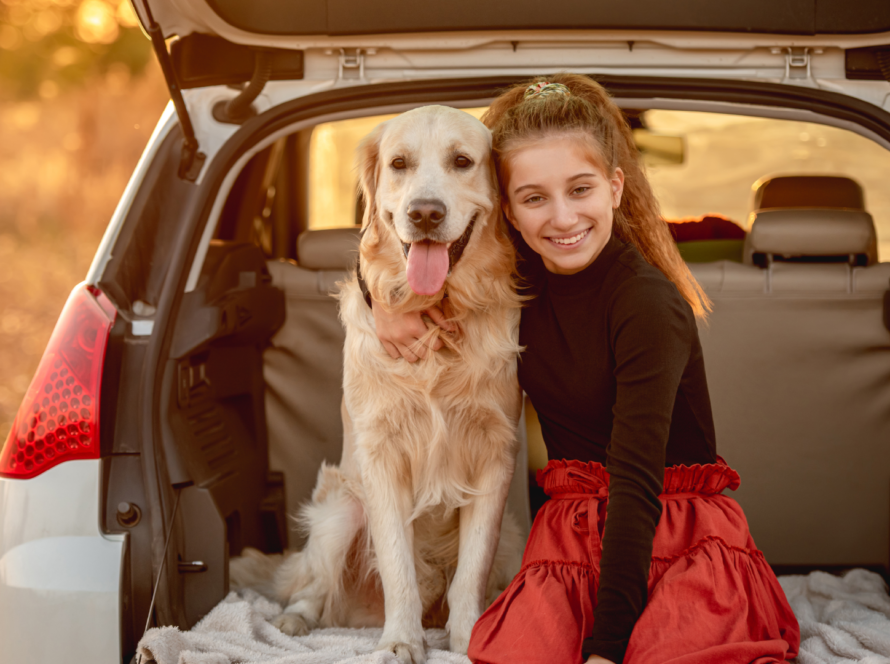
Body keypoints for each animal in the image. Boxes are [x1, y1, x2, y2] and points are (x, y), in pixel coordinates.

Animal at [264, 105, 528, 664]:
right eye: (399, 164)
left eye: (462, 161)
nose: (424, 213)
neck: (435, 318)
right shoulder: (381, 459)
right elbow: (397, 565)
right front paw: (401, 642)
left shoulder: (494, 457)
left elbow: (470, 573)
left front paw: (469, 639)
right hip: (340, 510)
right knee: (314, 588)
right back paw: (294, 621)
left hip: (513, 537)